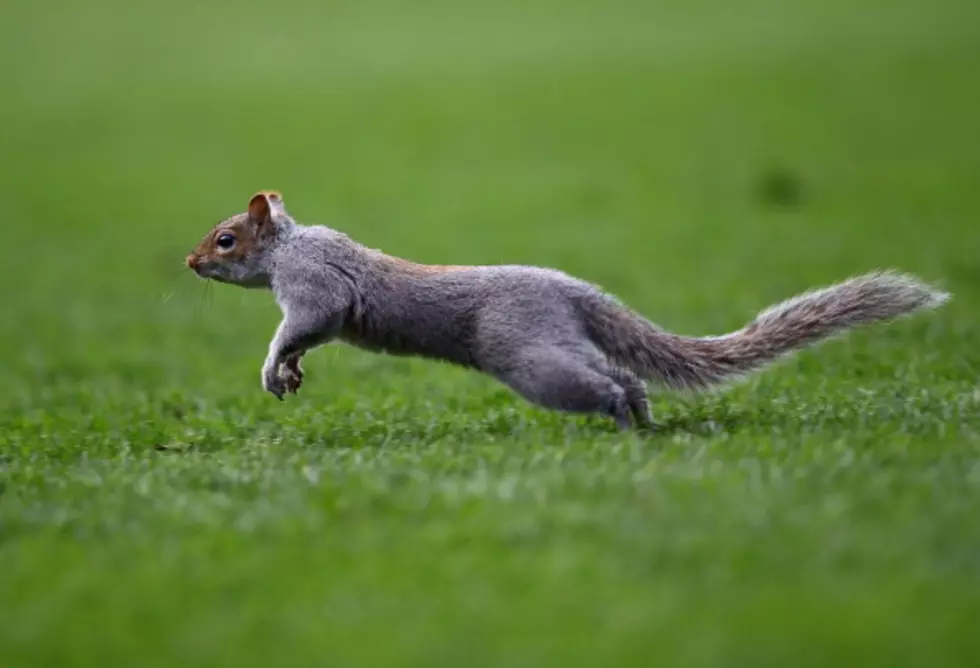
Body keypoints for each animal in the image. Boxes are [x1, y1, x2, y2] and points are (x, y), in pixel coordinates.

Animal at [184, 192, 948, 434]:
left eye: (225, 239)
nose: (190, 263)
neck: (291, 244)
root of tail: (576, 291)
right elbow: (305, 341)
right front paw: (291, 374)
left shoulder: (315, 286)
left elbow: (305, 323)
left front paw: (273, 367)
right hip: (554, 342)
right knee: (629, 377)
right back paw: (644, 424)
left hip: (529, 353)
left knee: (606, 382)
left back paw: (622, 423)